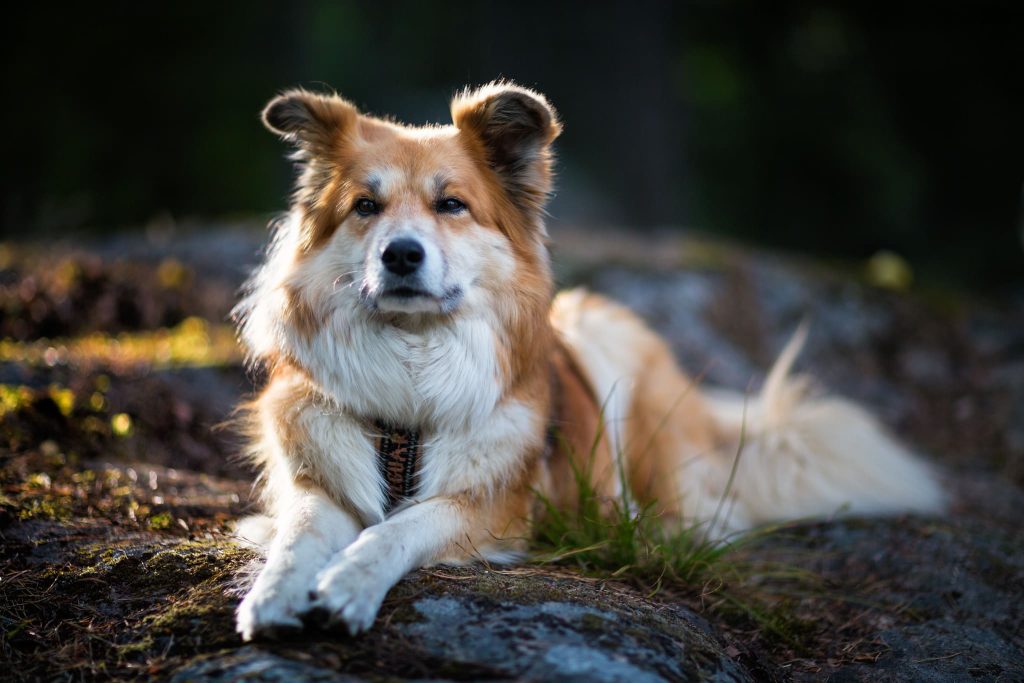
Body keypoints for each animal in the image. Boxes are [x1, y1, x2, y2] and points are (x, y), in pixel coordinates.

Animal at [232, 81, 942, 643]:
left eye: (451, 204)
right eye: (365, 207)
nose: (401, 254)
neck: (410, 372)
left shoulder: (493, 507)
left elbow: (396, 529)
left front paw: (348, 582)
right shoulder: (315, 481)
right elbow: (298, 535)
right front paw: (273, 592)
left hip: (614, 354)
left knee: (702, 514)